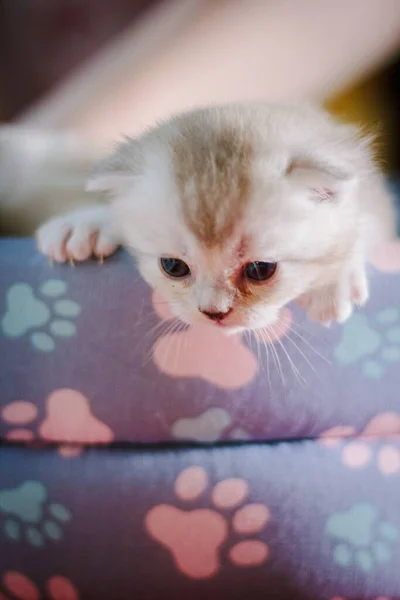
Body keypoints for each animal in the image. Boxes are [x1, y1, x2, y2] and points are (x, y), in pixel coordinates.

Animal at [37, 101, 394, 330]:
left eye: (261, 270)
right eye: (173, 267)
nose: (214, 313)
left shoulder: (373, 191)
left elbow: (367, 222)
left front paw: (332, 282)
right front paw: (86, 224)